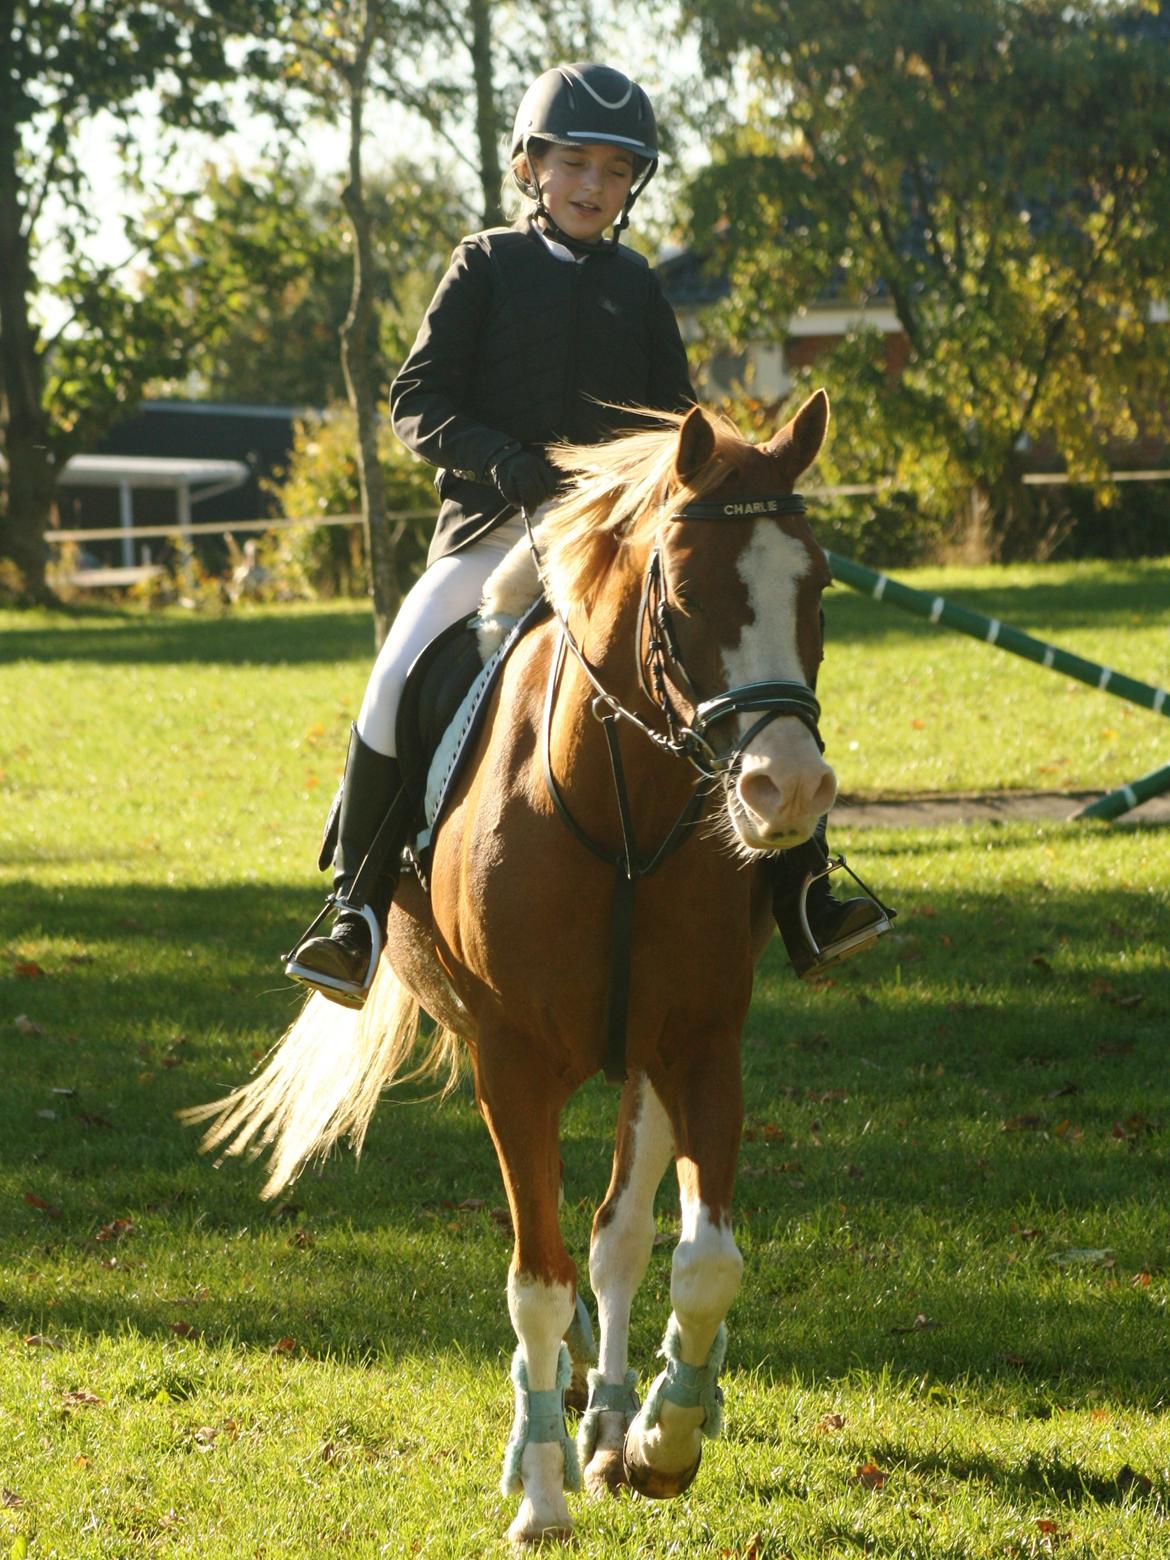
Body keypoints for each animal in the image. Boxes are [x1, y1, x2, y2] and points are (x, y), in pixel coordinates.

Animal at [197, 393, 848, 1547]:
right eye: (687, 596)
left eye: (814, 586)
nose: (789, 792)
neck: (620, 808)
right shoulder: (513, 1066)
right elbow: (534, 1282)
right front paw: (543, 1494)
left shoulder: (698, 1046)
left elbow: (698, 1261)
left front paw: (662, 1437)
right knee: (556, 1256)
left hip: (643, 1061)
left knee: (619, 1238)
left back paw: (620, 1413)